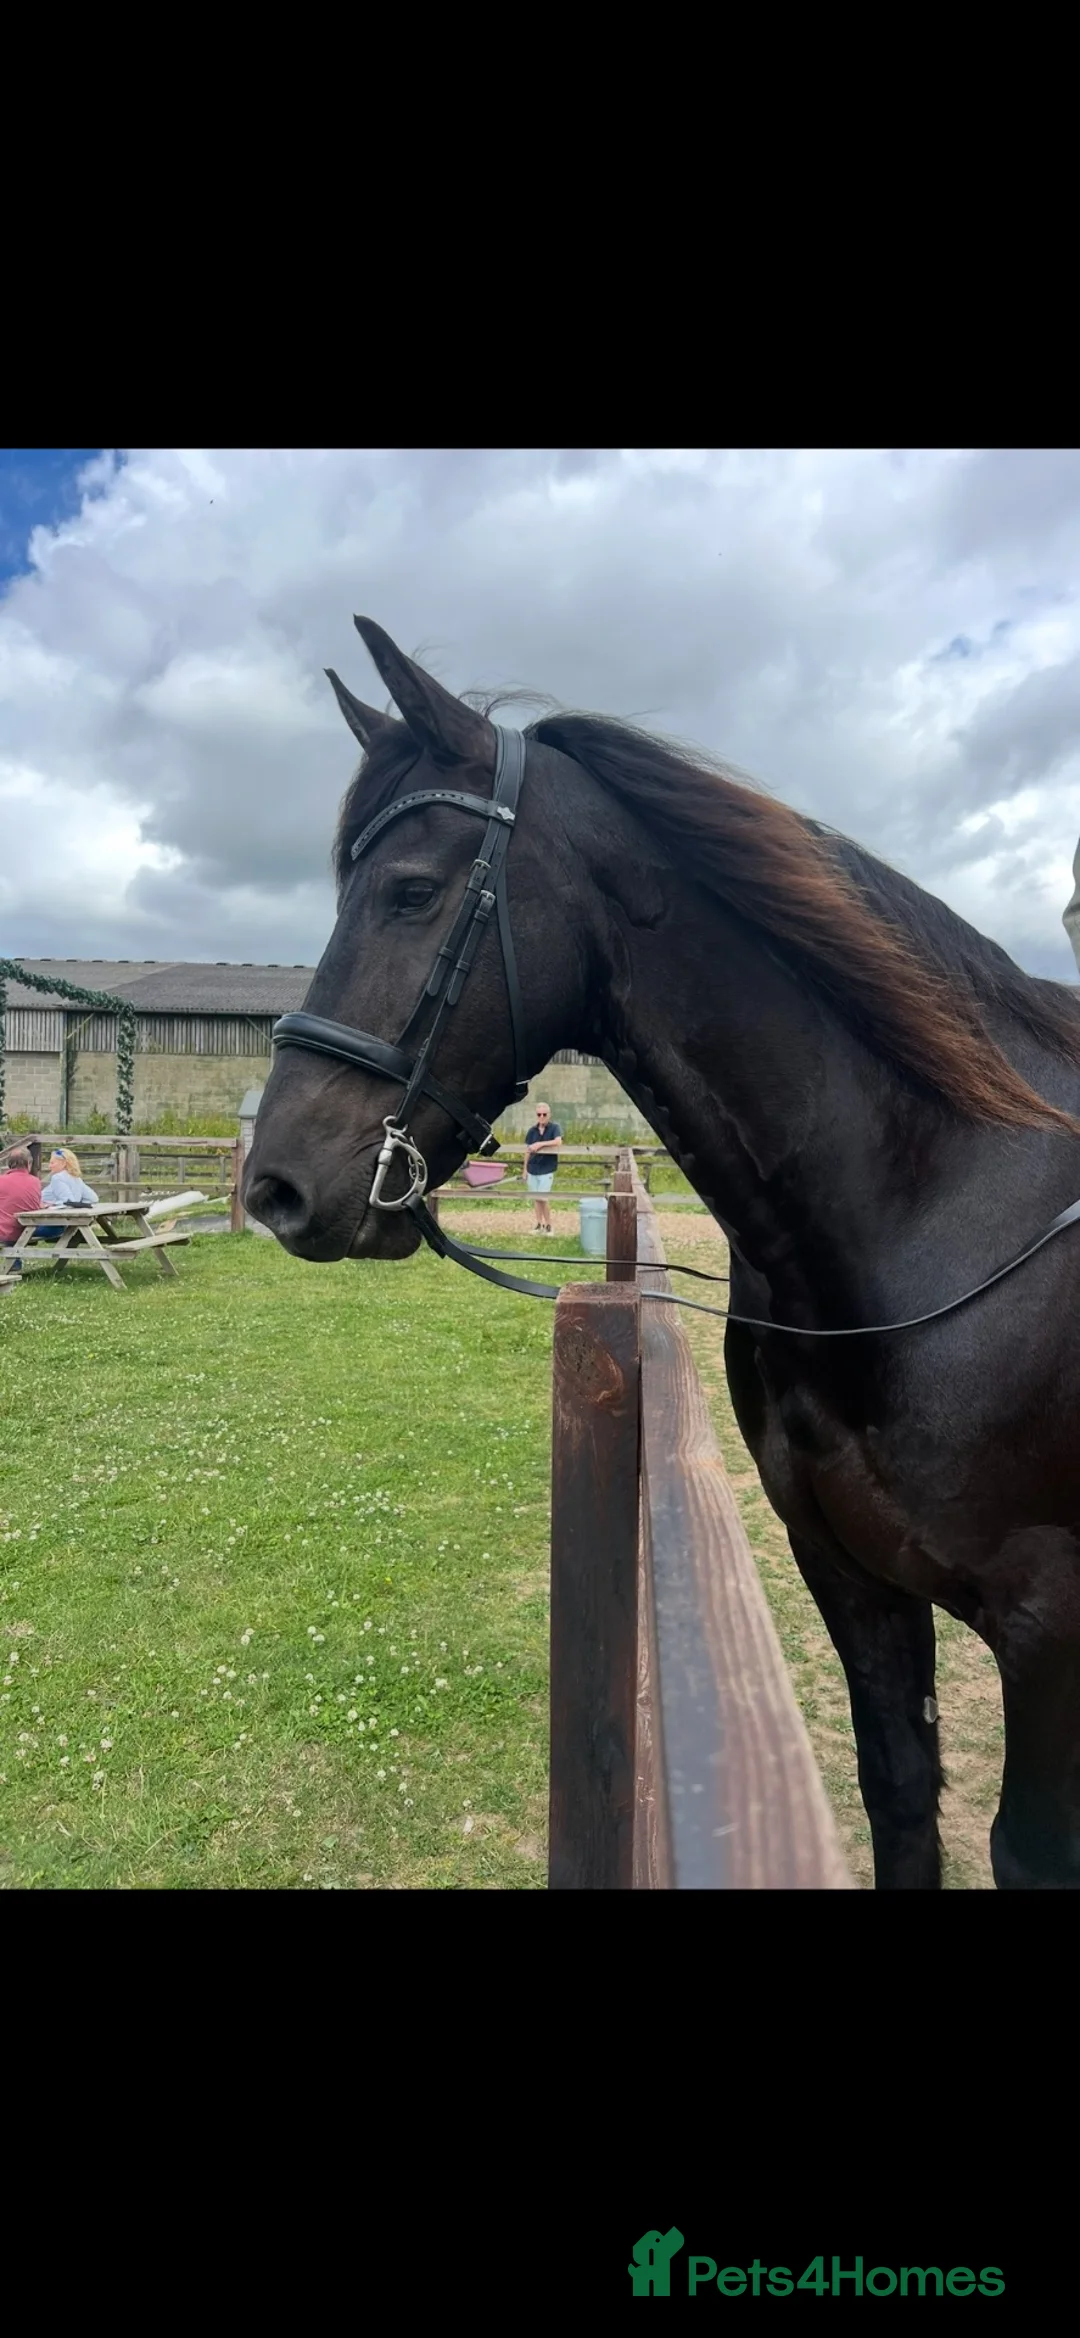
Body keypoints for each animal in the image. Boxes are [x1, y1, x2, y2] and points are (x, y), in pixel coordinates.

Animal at [245, 614, 1080, 1890]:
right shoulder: (854, 1575)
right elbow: (901, 1795)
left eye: (410, 892)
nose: (274, 1186)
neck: (944, 1204)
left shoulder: (1048, 1626)